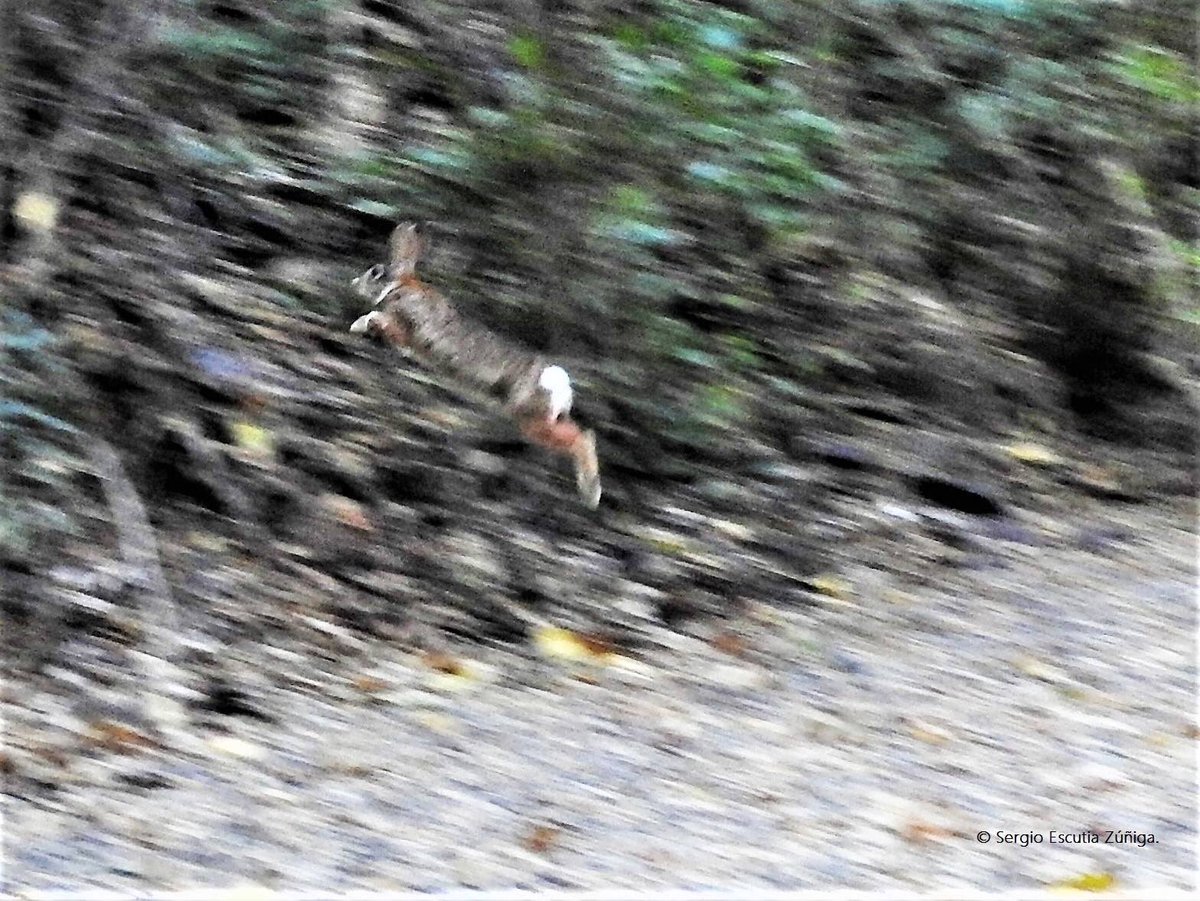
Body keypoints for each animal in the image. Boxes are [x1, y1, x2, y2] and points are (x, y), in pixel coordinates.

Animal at [350, 223, 601, 508]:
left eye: (375, 272)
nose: (353, 283)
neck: (399, 286)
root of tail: (559, 382)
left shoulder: (404, 326)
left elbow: (380, 320)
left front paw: (358, 325)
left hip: (531, 418)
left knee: (581, 438)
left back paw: (591, 494)